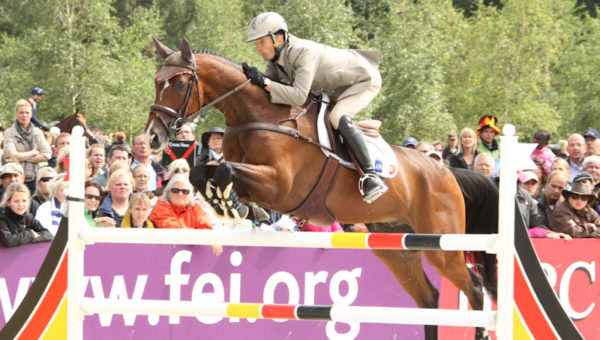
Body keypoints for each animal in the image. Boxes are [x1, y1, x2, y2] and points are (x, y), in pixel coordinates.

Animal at [145, 37, 496, 340]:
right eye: (156, 82)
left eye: (179, 83)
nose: (153, 137)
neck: (257, 114)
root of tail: (447, 171)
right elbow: (203, 171)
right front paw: (233, 204)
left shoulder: (280, 185)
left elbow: (225, 170)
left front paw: (232, 204)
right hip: (397, 250)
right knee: (428, 299)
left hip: (442, 245)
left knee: (475, 287)